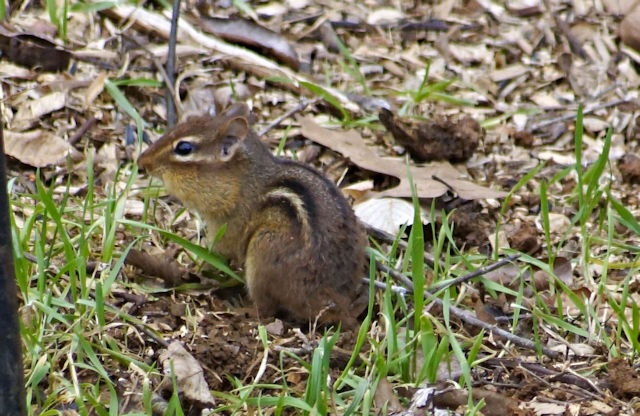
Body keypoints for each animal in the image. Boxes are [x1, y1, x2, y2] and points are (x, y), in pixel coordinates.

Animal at [138, 103, 367, 328]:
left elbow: (218, 252)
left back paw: (242, 310)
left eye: (184, 148)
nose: (142, 161)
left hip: (262, 251)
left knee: (266, 310)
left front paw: (193, 266)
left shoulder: (229, 226)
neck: (242, 179)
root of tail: (332, 300)